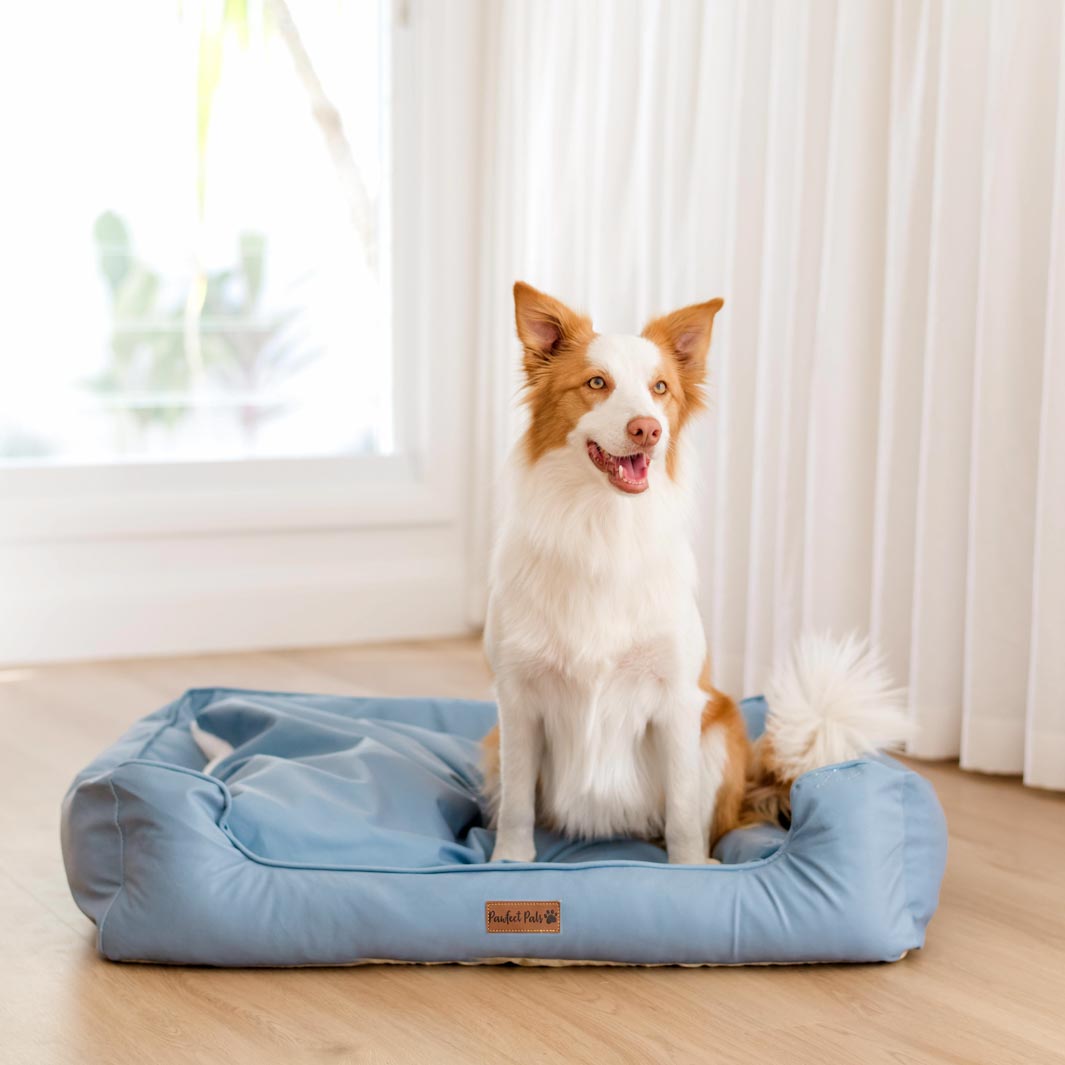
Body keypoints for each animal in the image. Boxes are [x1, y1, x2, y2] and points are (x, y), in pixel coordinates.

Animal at [483, 283, 907, 864]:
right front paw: (508, 860)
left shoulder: (678, 701)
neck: (604, 526)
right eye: (596, 383)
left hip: (721, 734)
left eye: (660, 388)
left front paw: (689, 868)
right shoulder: (518, 699)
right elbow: (518, 801)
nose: (647, 429)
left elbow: (683, 809)